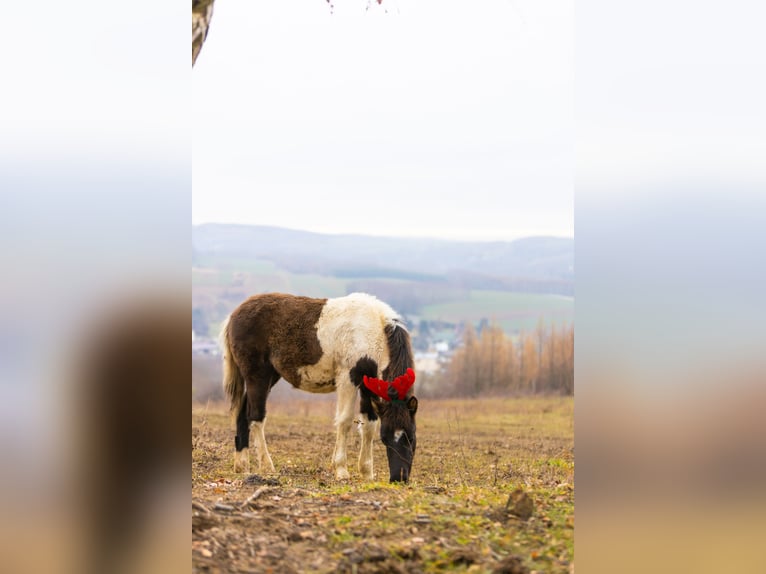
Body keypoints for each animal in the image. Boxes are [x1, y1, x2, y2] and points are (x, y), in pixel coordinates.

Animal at [219, 292, 424, 486]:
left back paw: (242, 466)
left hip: (269, 377)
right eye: (385, 439)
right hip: (258, 377)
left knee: (243, 413)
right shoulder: (348, 379)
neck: (373, 330)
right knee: (256, 417)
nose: (399, 478)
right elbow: (345, 421)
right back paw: (267, 466)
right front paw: (341, 470)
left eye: (412, 437)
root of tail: (233, 315)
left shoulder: (368, 387)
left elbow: (368, 425)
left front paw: (366, 473)